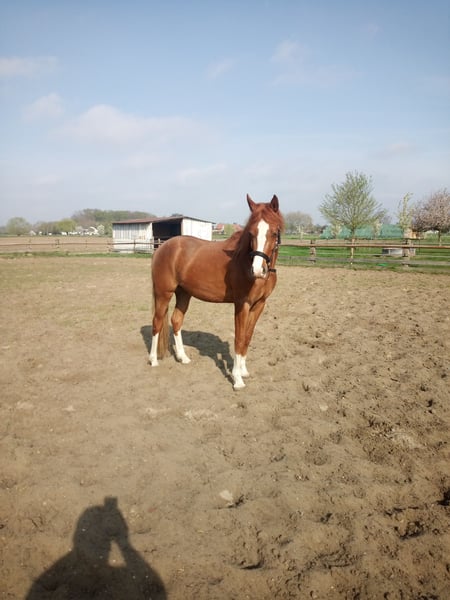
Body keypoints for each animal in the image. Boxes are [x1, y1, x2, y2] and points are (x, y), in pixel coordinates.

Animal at [149, 194, 284, 389]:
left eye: (274, 232)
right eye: (251, 233)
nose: (258, 270)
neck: (243, 259)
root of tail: (162, 247)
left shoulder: (259, 305)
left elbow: (247, 337)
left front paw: (244, 371)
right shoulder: (242, 304)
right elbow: (239, 338)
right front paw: (237, 379)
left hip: (184, 294)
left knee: (176, 321)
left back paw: (183, 357)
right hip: (163, 293)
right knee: (157, 322)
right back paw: (153, 360)